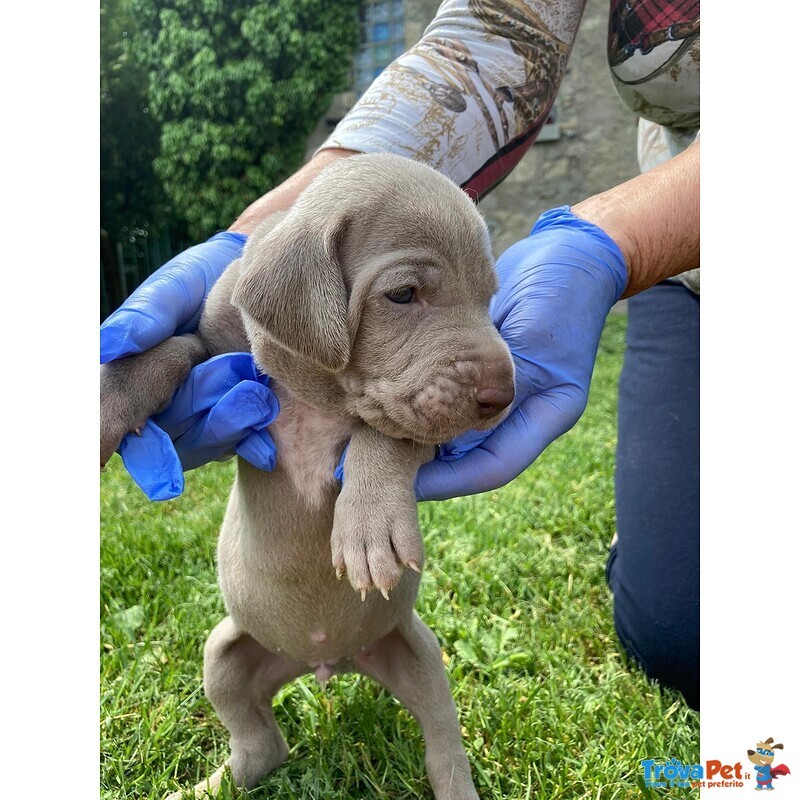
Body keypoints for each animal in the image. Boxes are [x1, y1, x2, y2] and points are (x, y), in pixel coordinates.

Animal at [100, 155, 516, 800]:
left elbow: (383, 434)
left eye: (488, 298)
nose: (506, 395)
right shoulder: (218, 348)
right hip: (224, 652)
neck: (317, 387)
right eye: (403, 294)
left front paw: (368, 526)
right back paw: (208, 786)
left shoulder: (413, 418)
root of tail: (326, 662)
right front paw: (105, 405)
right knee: (260, 745)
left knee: (443, 748)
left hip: (419, 654)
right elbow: (166, 349)